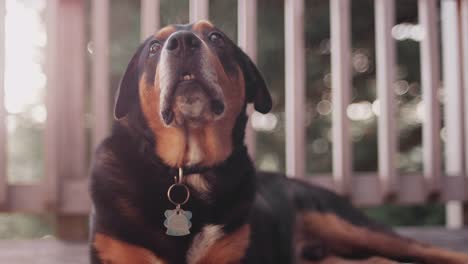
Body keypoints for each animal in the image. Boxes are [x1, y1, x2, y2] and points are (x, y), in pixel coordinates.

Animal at [89, 21, 468, 264]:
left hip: (344, 222)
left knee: (423, 250)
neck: (185, 172)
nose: (182, 42)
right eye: (154, 47)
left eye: (216, 37)